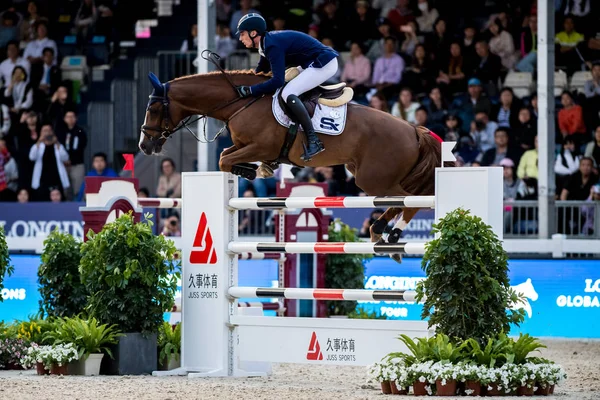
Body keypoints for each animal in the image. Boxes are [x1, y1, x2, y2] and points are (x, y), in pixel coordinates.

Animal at [138, 61, 442, 252]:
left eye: (153, 108)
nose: (144, 145)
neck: (241, 101)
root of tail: (414, 130)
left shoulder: (261, 146)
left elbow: (224, 160)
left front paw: (250, 171)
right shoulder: (245, 146)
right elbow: (225, 155)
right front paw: (256, 170)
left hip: (373, 179)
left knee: (412, 200)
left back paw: (392, 232)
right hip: (369, 175)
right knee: (402, 200)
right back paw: (379, 228)